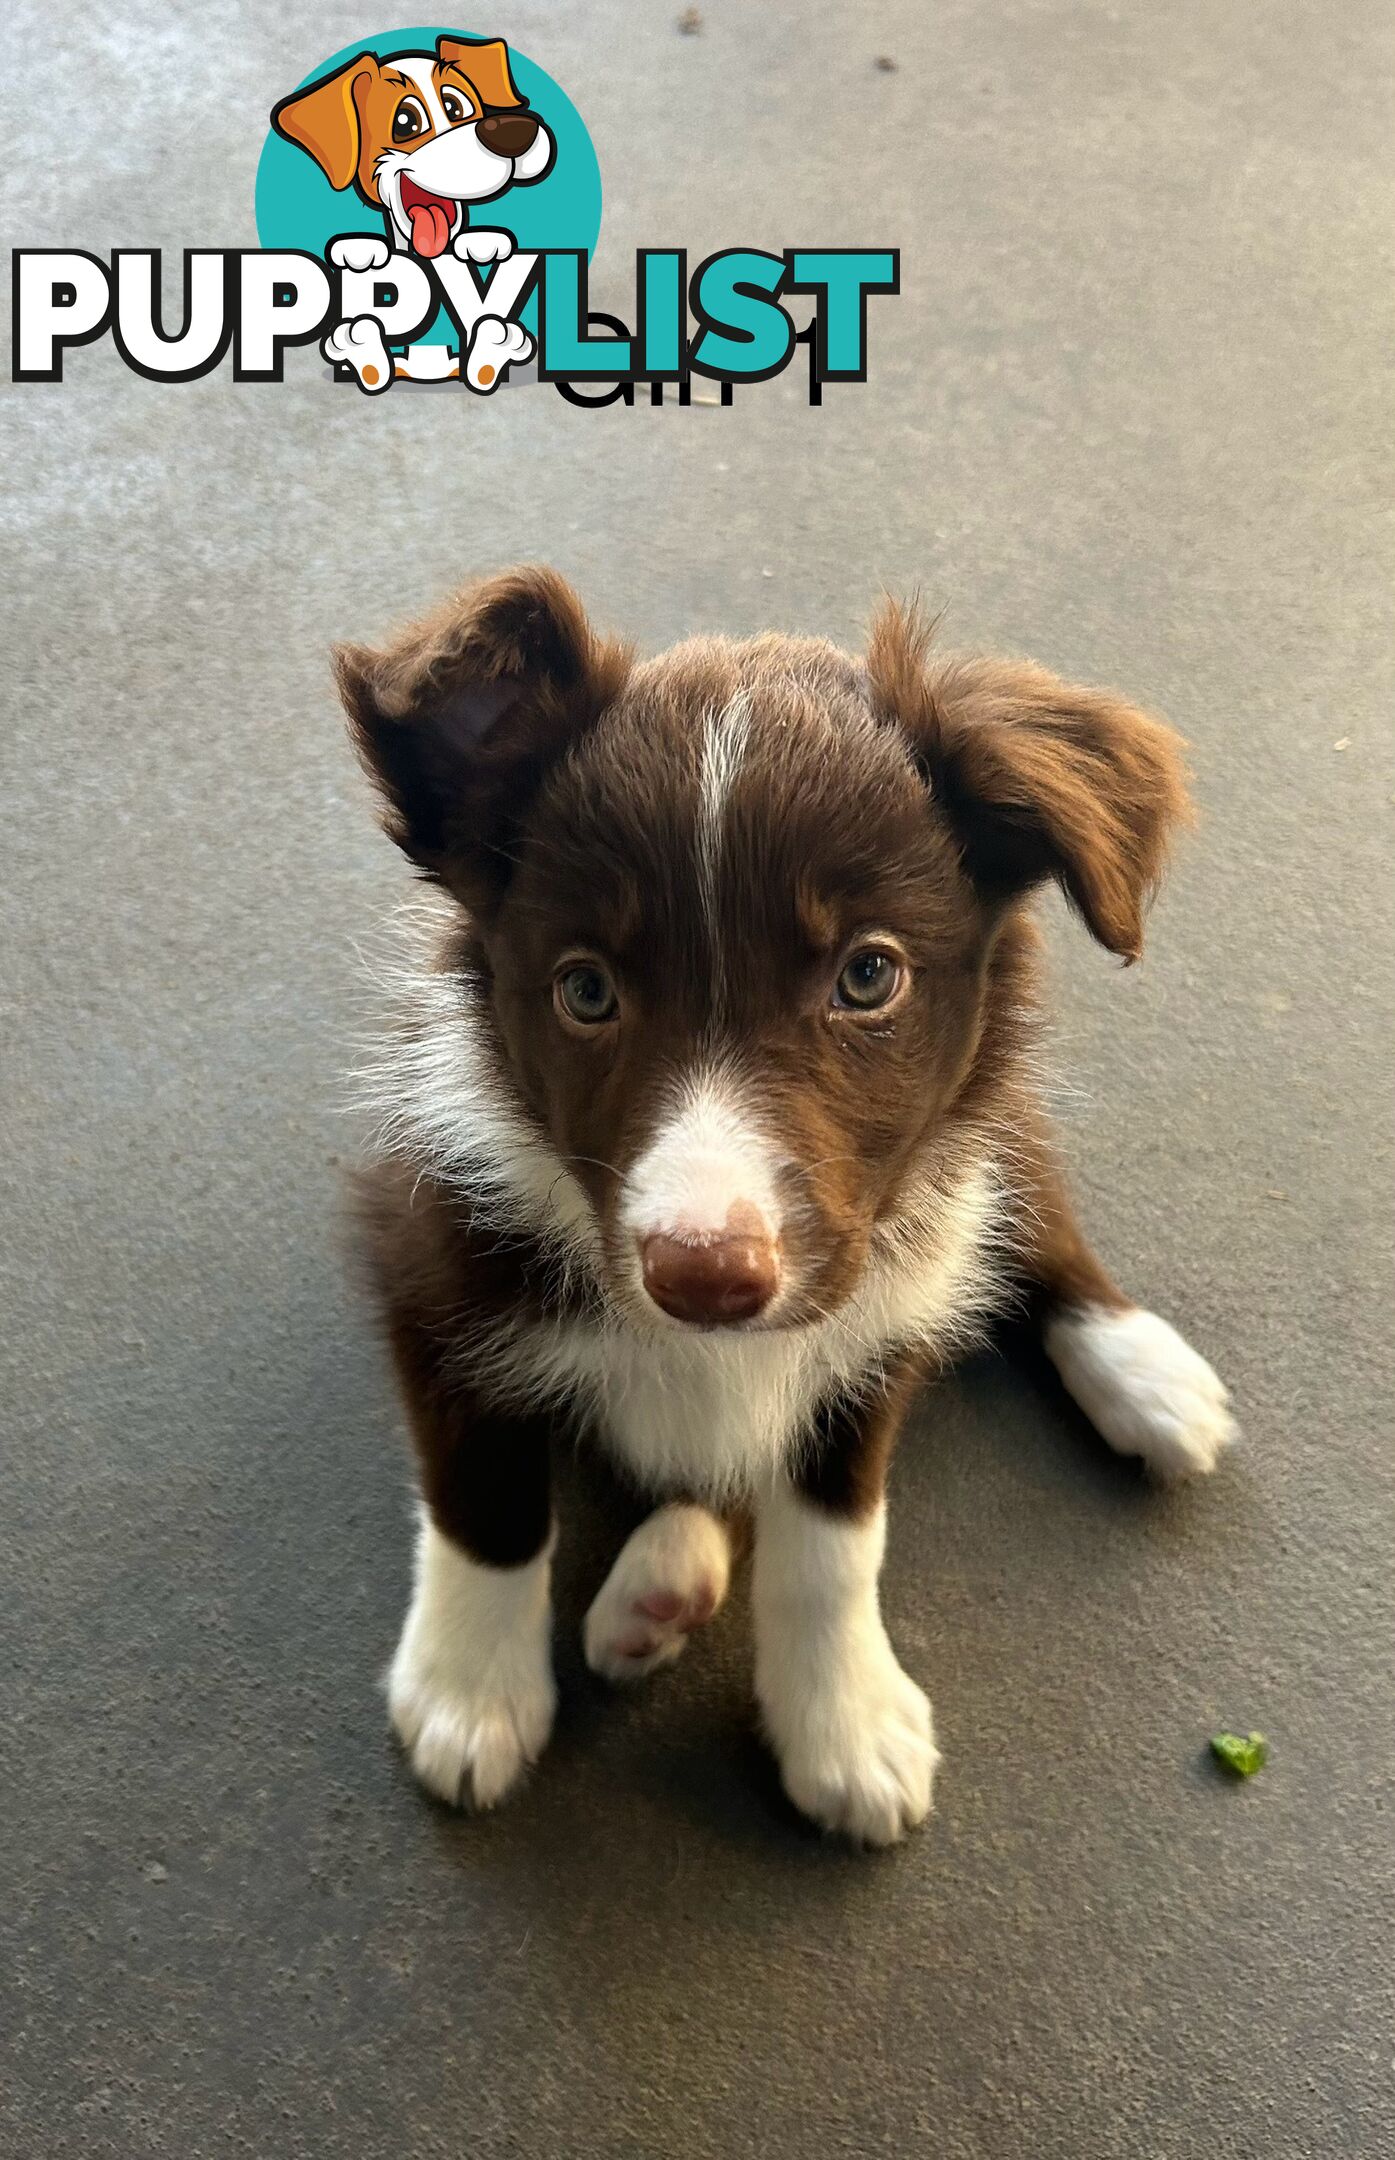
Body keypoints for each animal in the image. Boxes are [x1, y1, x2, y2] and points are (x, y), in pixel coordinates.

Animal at [339, 565, 1235, 1848]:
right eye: (585, 991)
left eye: (868, 975)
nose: (707, 1277)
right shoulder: (433, 1253)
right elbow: (487, 1501)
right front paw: (470, 1697)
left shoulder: (873, 1323)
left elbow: (833, 1537)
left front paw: (843, 1724)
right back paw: (664, 1580)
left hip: (976, 1150)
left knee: (1034, 1209)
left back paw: (1141, 1372)